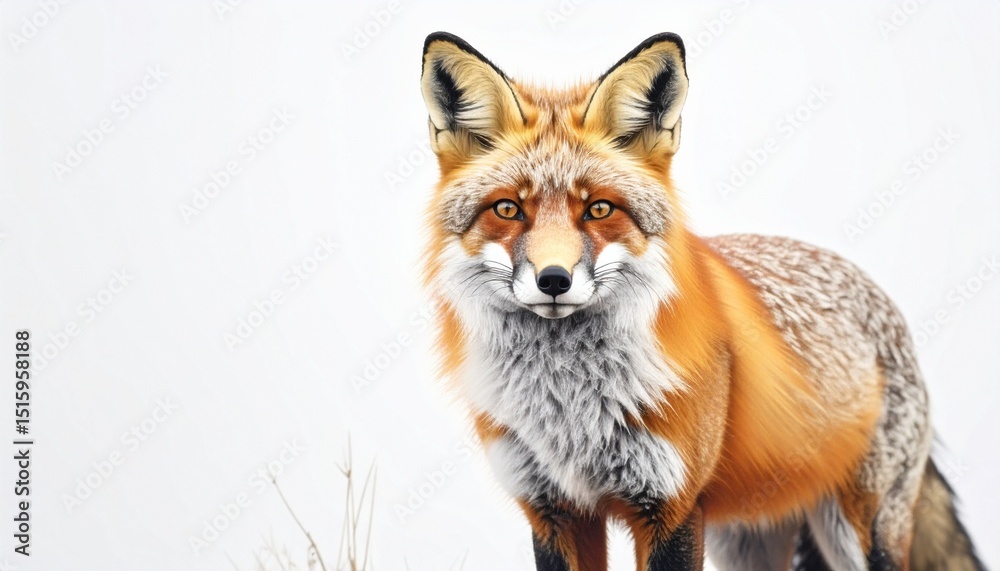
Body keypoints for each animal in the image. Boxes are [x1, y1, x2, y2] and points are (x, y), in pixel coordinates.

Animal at [418, 31, 984, 571]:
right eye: (508, 209)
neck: (569, 408)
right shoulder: (554, 510)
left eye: (599, 209)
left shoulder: (672, 506)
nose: (553, 279)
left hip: (859, 531)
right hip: (747, 541)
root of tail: (881, 300)